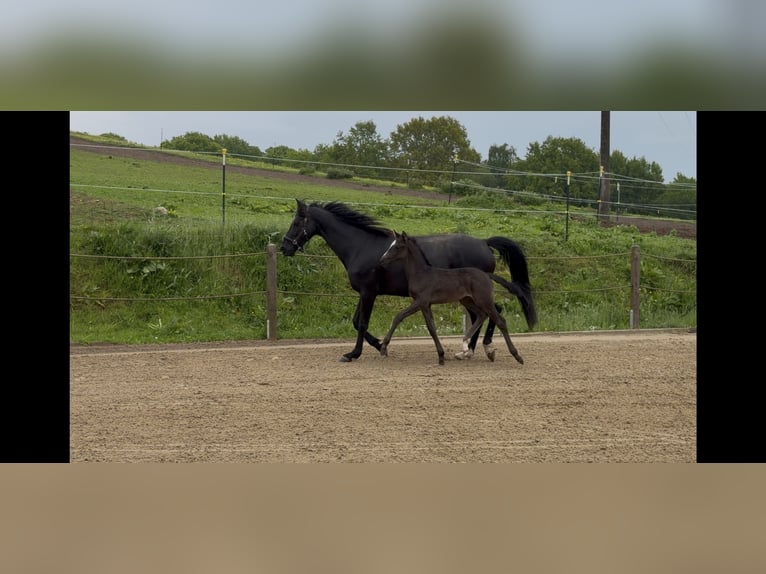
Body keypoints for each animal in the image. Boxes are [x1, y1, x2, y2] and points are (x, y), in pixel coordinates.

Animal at [379, 230, 526, 365]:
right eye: (391, 245)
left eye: (397, 246)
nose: (382, 260)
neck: (421, 273)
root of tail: (486, 274)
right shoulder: (426, 304)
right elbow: (431, 327)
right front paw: (441, 356)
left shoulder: (421, 301)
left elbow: (401, 317)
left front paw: (383, 347)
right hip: (467, 300)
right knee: (481, 315)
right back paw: (465, 345)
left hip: (483, 300)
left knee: (500, 321)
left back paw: (517, 356)